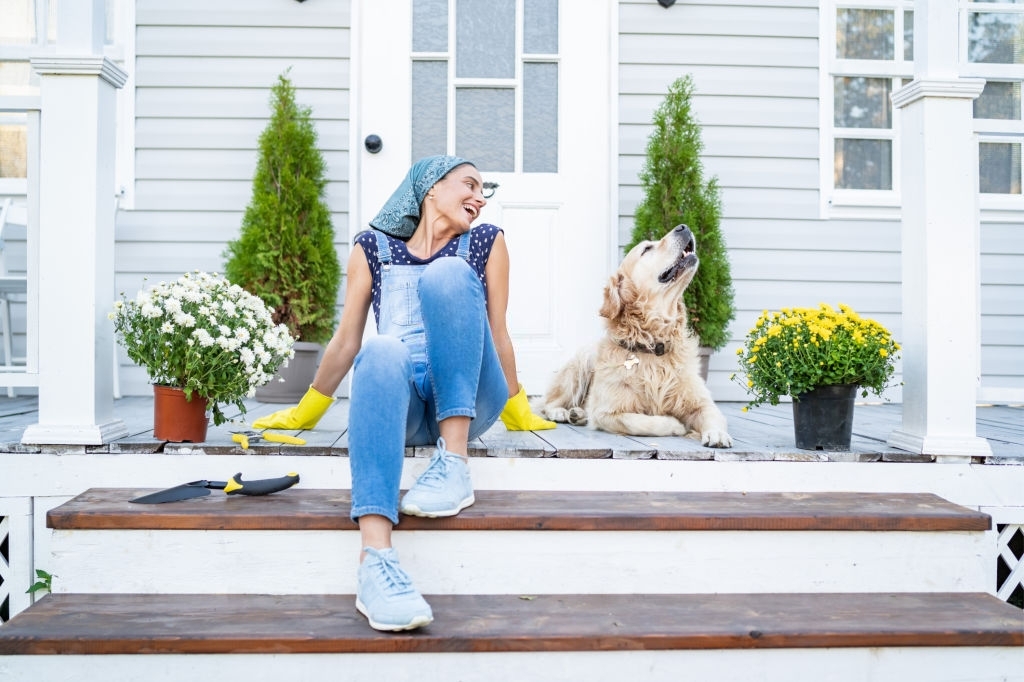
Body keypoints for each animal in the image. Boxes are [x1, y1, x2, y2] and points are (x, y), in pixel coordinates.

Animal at [540, 224, 733, 446]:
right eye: (647, 249)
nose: (683, 227)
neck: (654, 343)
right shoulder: (608, 412)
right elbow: (643, 422)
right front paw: (675, 425)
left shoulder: (701, 401)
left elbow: (712, 414)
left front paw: (717, 434)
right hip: (578, 366)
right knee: (547, 403)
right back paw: (561, 412)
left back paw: (577, 414)